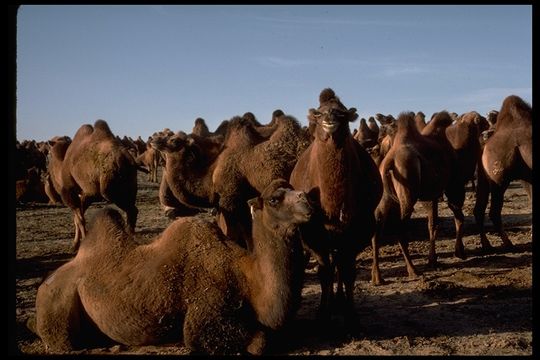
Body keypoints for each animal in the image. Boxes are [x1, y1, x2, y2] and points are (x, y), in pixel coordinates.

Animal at [32, 179, 312, 356]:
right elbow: (259, 342)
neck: (248, 279)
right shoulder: (204, 314)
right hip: (58, 308)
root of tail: (46, 282)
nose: (307, 200)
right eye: (275, 199)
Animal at [288, 89, 382, 324]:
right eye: (319, 113)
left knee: (340, 262)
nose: (329, 119)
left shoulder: (359, 229)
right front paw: (322, 313)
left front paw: (351, 314)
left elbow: (348, 270)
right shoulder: (314, 233)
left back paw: (339, 301)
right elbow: (324, 271)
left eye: (341, 113)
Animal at [472, 95, 532, 250]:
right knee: (493, 211)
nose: (485, 134)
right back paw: (507, 243)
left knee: (480, 208)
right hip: (498, 178)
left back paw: (487, 244)